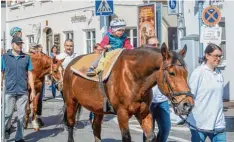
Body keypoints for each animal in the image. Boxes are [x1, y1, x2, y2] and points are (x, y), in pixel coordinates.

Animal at [62, 43, 194, 142]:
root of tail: (70, 64)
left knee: (96, 127)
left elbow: (151, 137)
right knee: (71, 125)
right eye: (172, 73)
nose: (188, 104)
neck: (133, 77)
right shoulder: (122, 113)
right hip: (71, 102)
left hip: (98, 108)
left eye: (186, 73)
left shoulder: (144, 112)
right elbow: (126, 138)